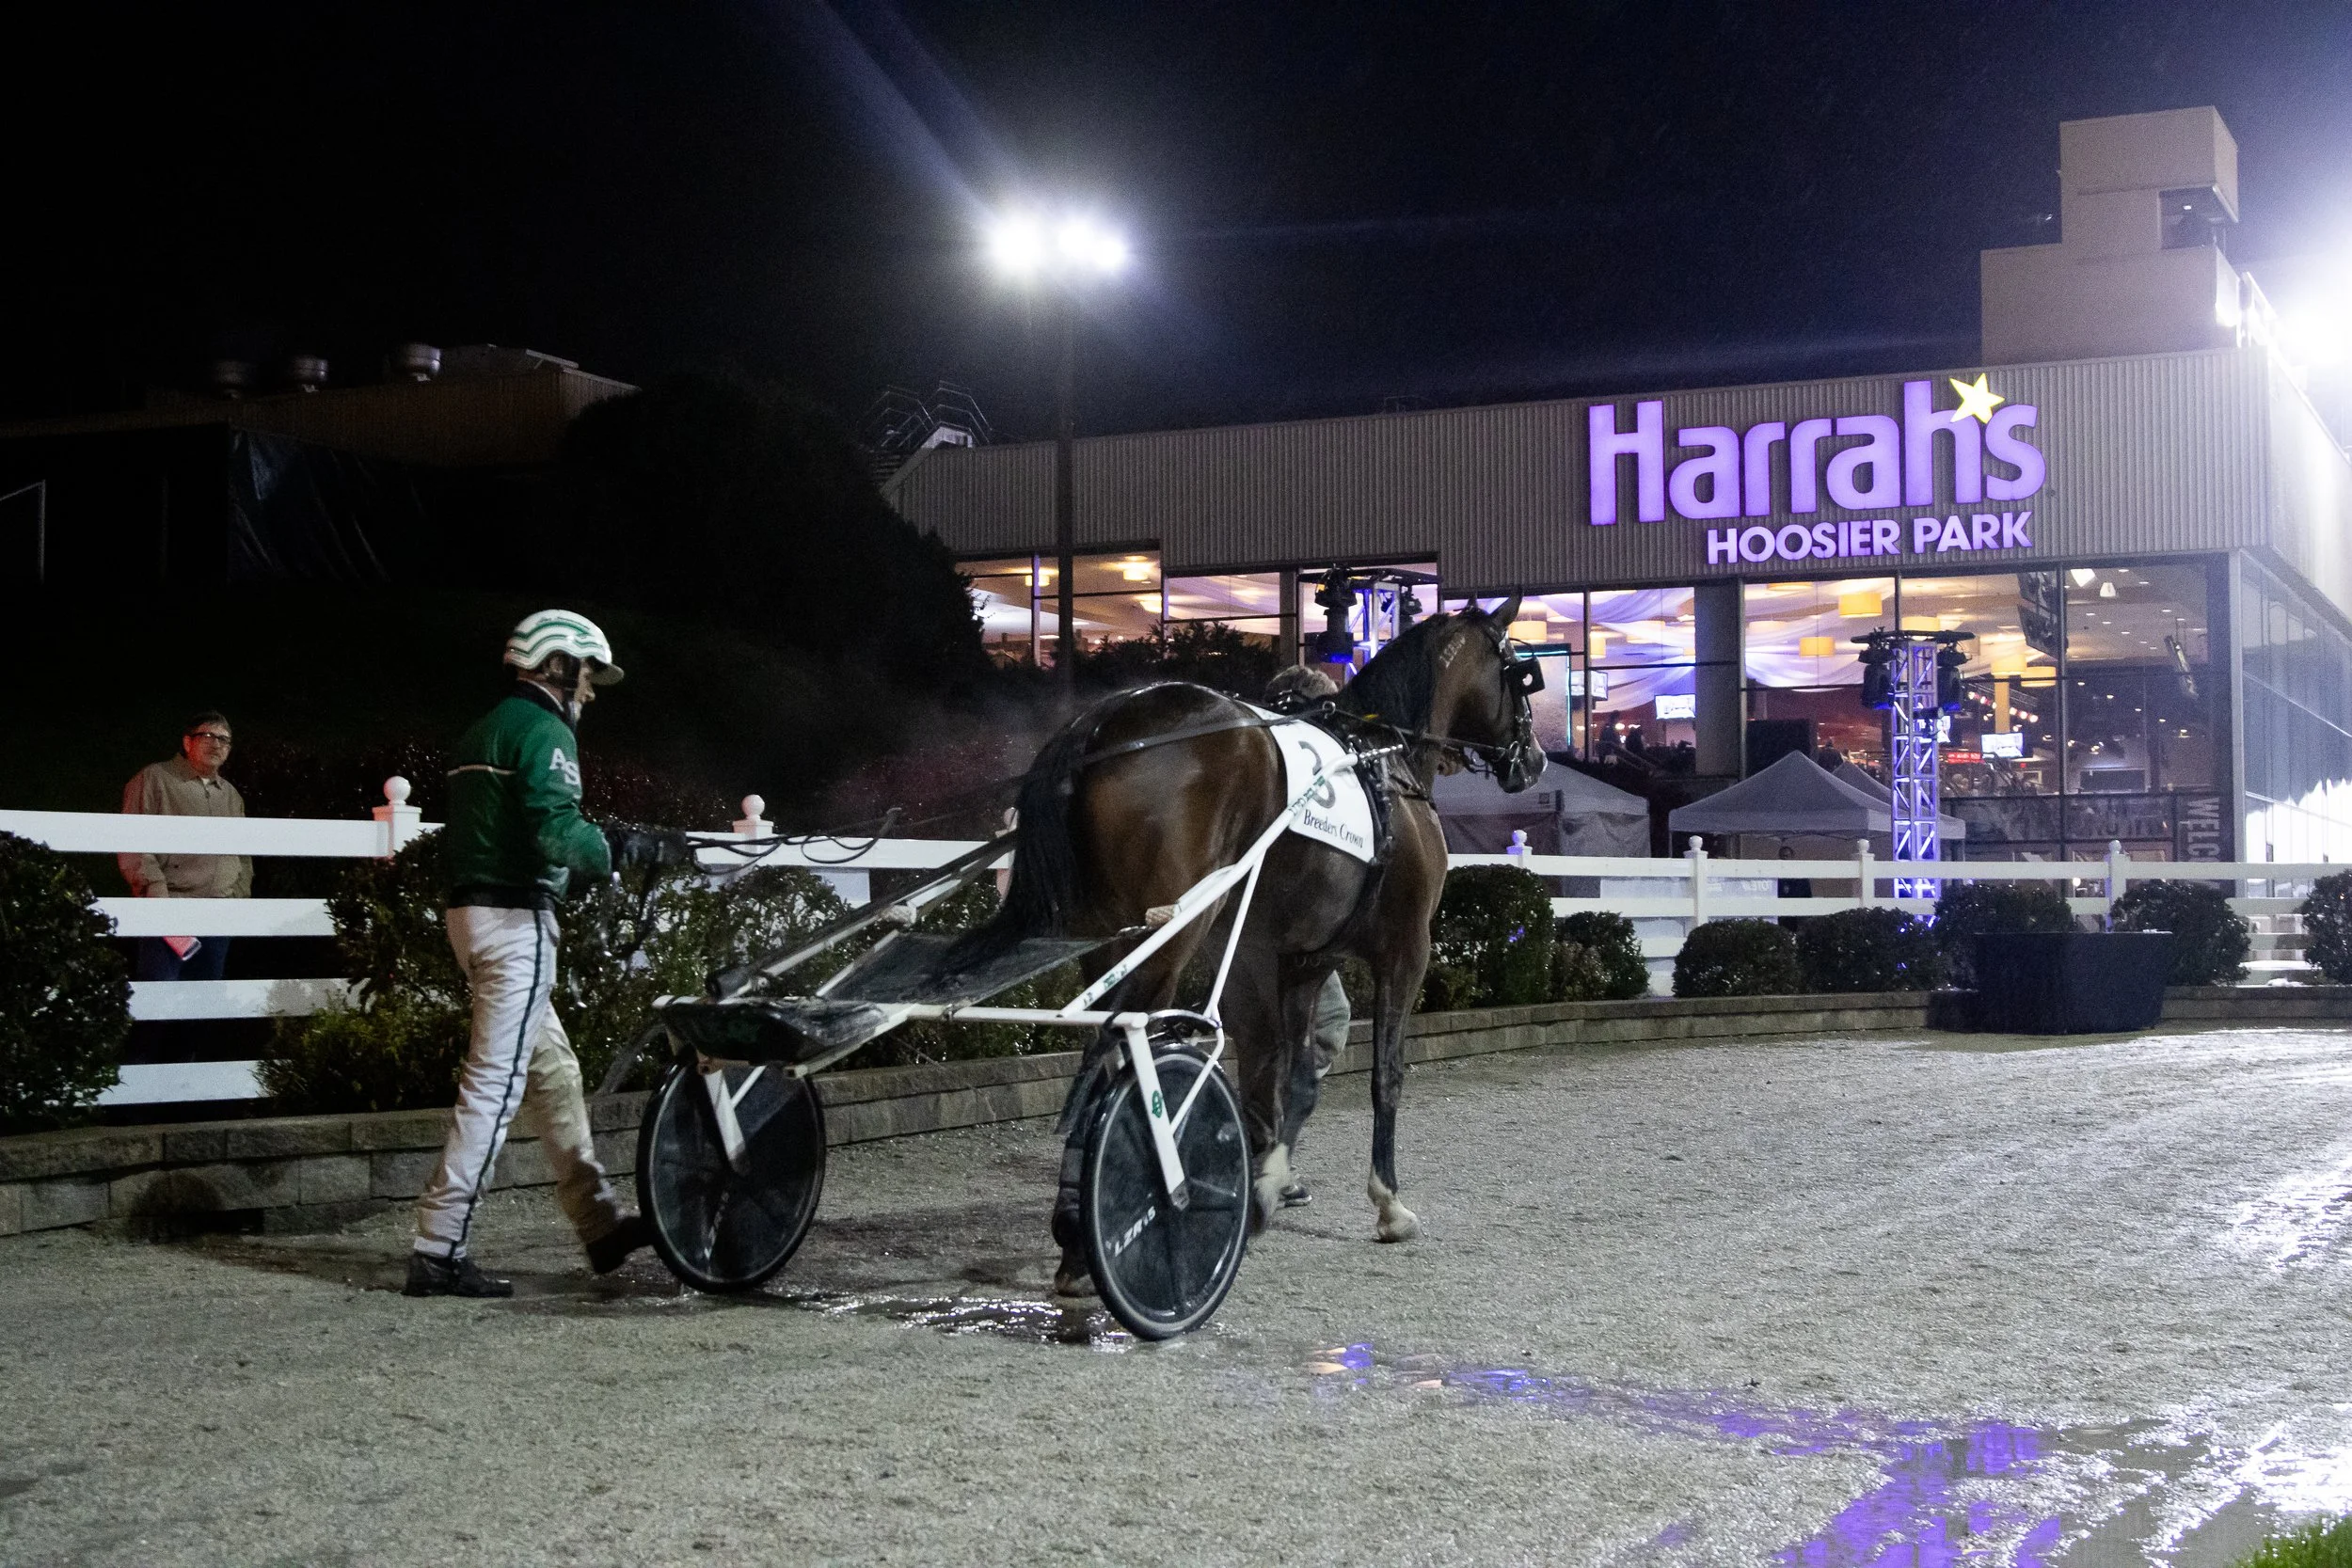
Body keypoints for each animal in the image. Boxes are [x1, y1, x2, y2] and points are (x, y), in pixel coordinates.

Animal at [957, 596, 1545, 1291]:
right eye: (1520, 671)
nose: (1535, 758)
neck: (1383, 764)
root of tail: (1101, 727)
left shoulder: (1304, 960)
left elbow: (1297, 1079)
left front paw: (1269, 1179)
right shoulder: (1404, 951)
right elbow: (1384, 1075)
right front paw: (1384, 1201)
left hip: (1108, 942)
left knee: (1106, 1053)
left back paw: (1082, 1229)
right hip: (1172, 935)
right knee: (1121, 1051)